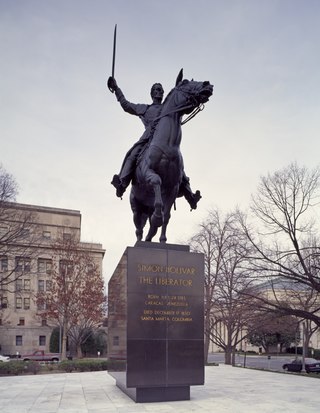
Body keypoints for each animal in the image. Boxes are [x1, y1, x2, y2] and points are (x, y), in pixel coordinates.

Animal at [129, 71, 214, 241]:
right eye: (185, 82)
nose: (207, 84)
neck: (168, 146)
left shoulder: (173, 187)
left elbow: (166, 216)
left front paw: (162, 240)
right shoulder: (148, 174)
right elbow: (157, 181)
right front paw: (157, 219)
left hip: (146, 207)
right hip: (136, 207)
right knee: (138, 229)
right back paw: (140, 240)